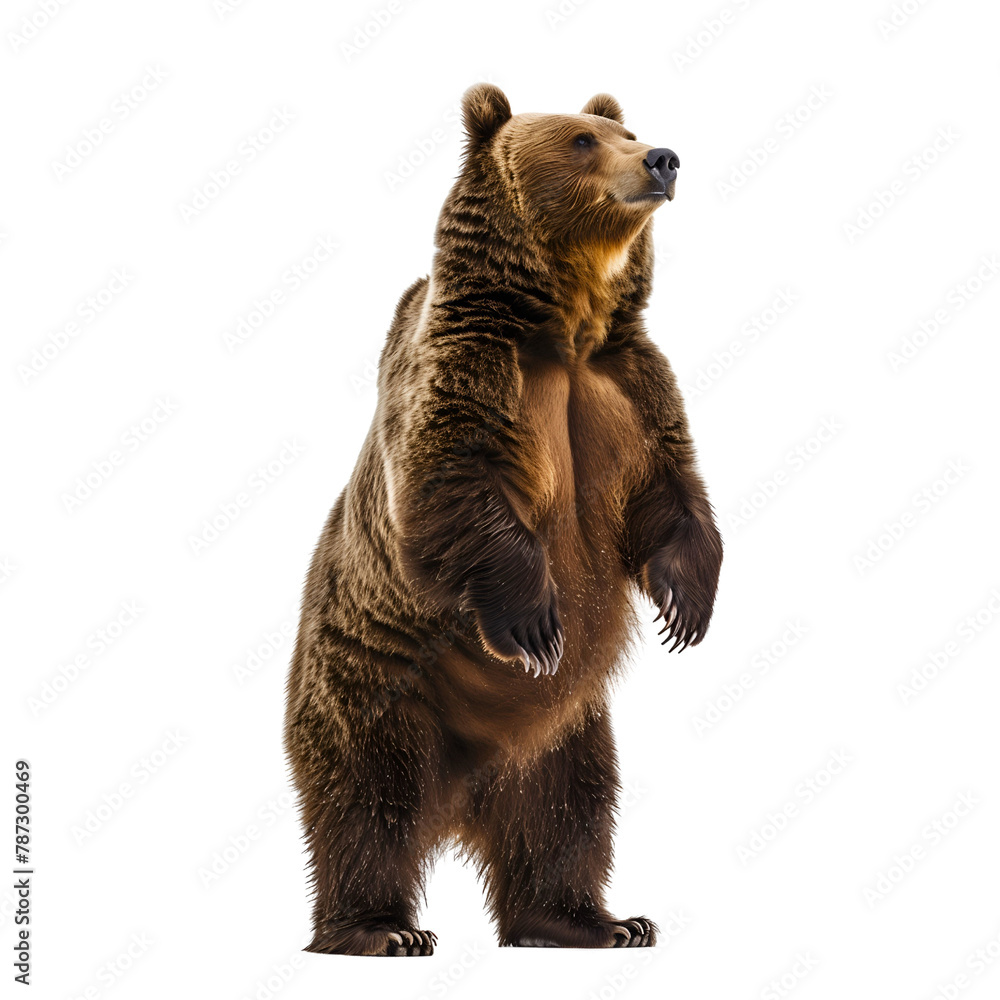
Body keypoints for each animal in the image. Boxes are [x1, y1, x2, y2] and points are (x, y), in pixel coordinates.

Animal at [284, 83, 723, 956]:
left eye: (627, 130)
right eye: (584, 141)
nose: (663, 158)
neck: (567, 329)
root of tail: (463, 796)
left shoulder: (631, 383)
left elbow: (670, 490)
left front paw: (686, 604)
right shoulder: (473, 371)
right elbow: (449, 483)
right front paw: (535, 620)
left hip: (566, 730)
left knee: (568, 811)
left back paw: (594, 921)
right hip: (379, 687)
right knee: (366, 803)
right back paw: (378, 929)